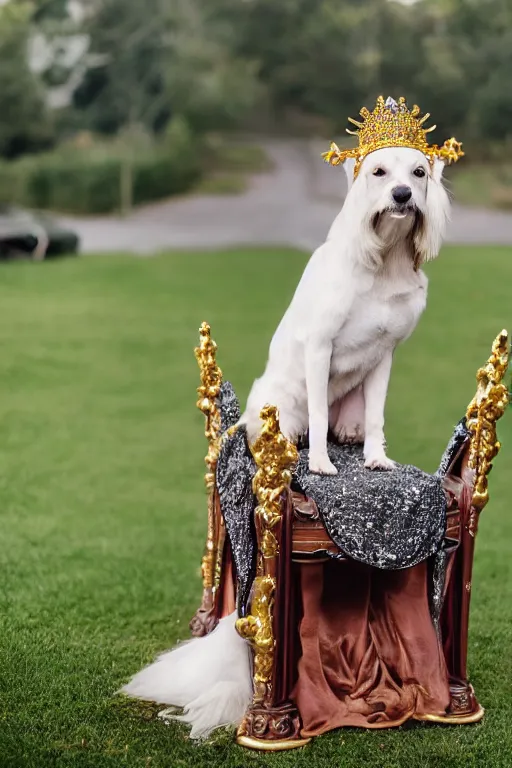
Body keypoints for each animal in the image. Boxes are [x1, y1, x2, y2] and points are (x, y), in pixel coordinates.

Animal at [239, 142, 448, 468]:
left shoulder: (384, 354)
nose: (402, 194)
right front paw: (320, 464)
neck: (386, 262)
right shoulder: (319, 346)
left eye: (419, 172)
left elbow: (375, 415)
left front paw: (376, 459)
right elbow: (318, 412)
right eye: (378, 171)